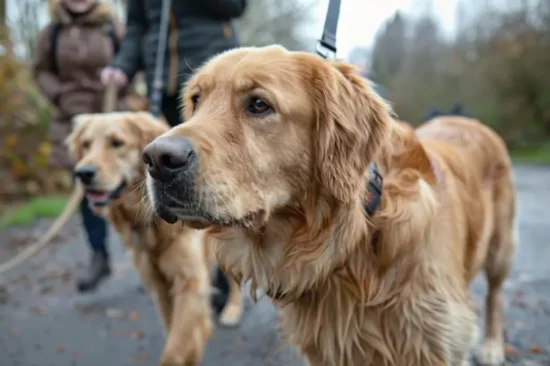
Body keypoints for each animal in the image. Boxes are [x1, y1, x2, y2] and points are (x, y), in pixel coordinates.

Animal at [66, 112, 244, 366]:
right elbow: (173, 331)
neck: (149, 218)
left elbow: (176, 348)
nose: (83, 173)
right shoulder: (159, 286)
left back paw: (232, 310)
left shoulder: (188, 281)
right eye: (85, 145)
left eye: (117, 143)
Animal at [142, 45, 516, 366]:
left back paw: (492, 345)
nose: (157, 159)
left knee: (496, 295)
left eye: (259, 104)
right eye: (196, 100)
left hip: (500, 250)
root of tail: (461, 118)